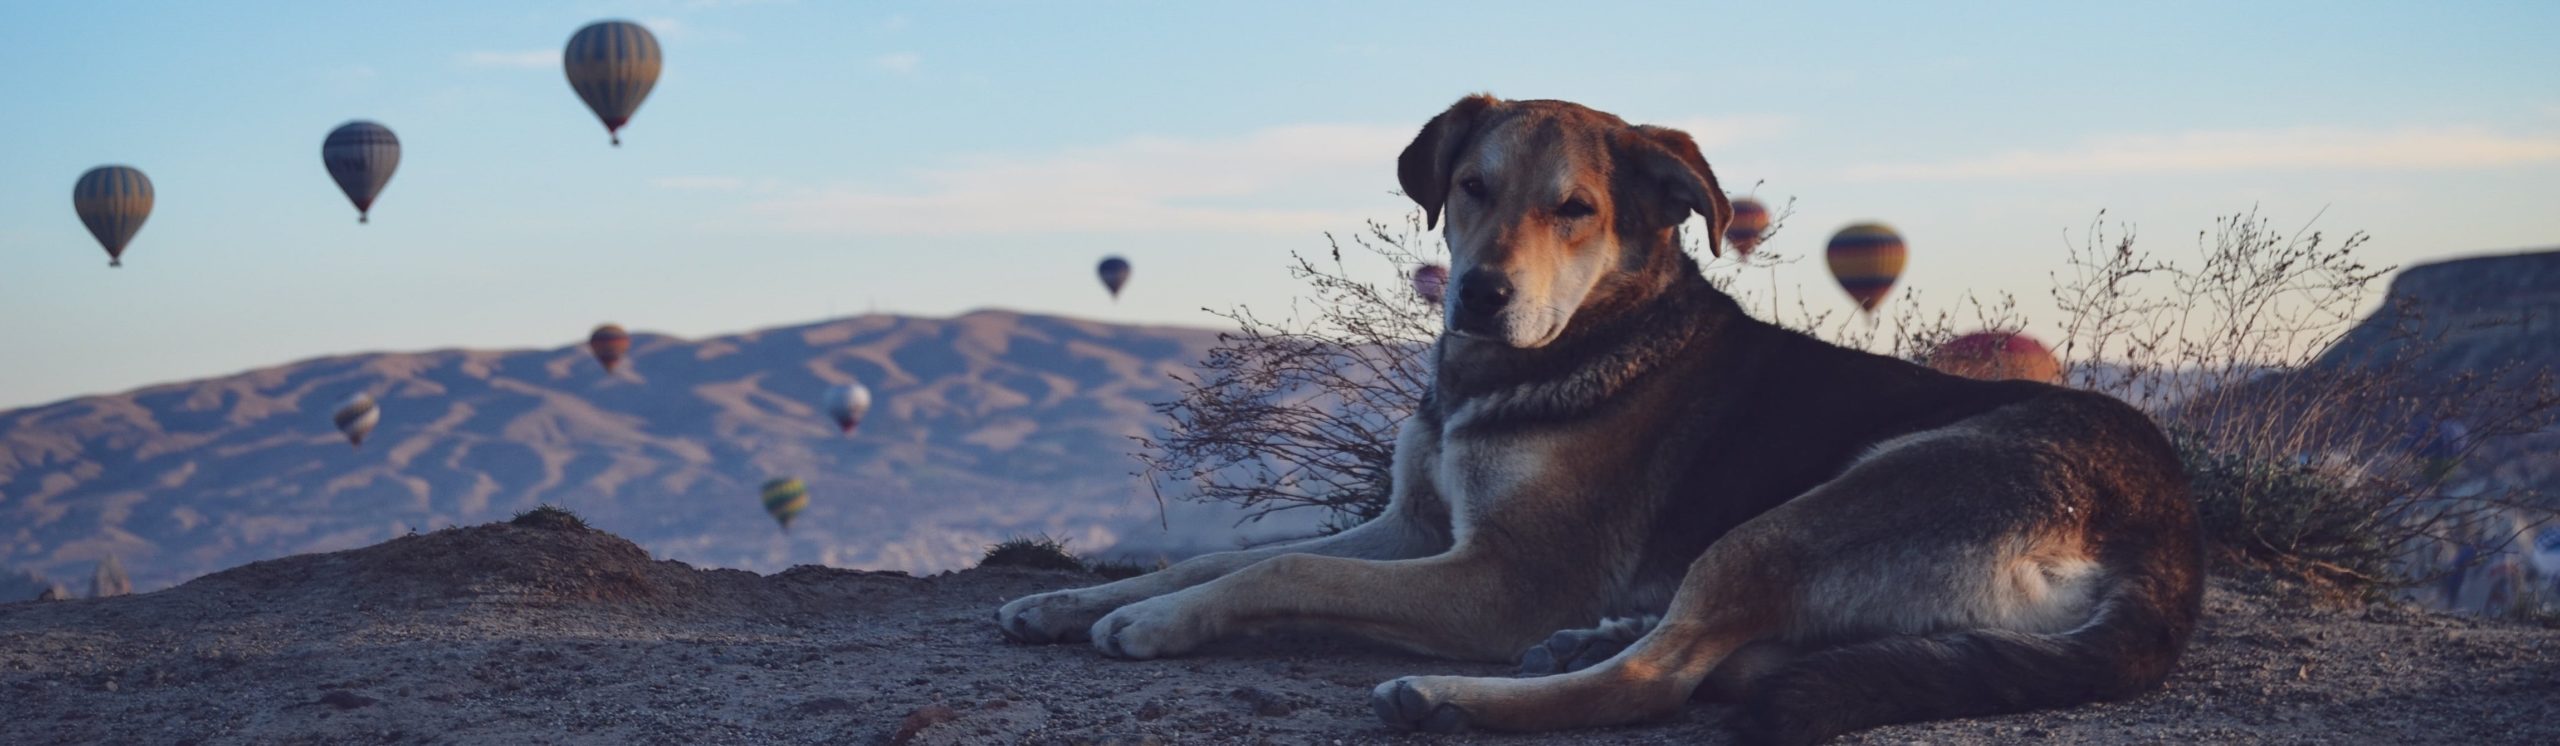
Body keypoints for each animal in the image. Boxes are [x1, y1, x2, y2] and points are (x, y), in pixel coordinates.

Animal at [993, 96, 2201, 743]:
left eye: (1574, 209)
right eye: (1470, 186)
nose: (1477, 292)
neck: (1534, 362)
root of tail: (2168, 540)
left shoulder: (1498, 576)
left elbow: (1280, 570)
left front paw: (1154, 625)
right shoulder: (1412, 524)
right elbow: (1210, 561)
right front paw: (1073, 599)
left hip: (1839, 497)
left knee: (1662, 679)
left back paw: (1449, 695)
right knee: (1716, 654)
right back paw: (1590, 636)